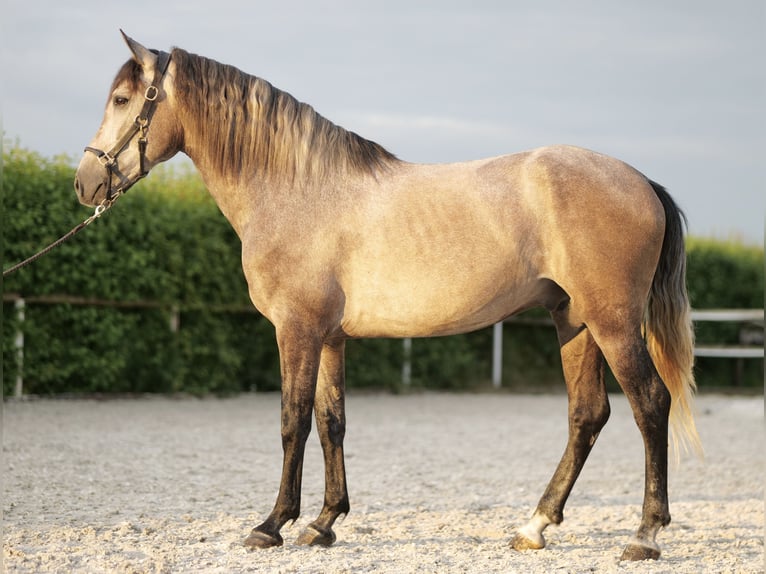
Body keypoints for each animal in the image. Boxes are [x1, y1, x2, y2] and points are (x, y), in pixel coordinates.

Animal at [75, 32, 704, 564]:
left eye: (124, 98)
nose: (85, 183)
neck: (296, 190)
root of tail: (641, 181)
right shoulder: (329, 337)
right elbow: (331, 420)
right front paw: (324, 523)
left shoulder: (296, 330)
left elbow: (291, 420)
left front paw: (271, 524)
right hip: (573, 320)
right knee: (587, 414)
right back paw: (534, 526)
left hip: (613, 322)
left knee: (650, 404)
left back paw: (644, 535)